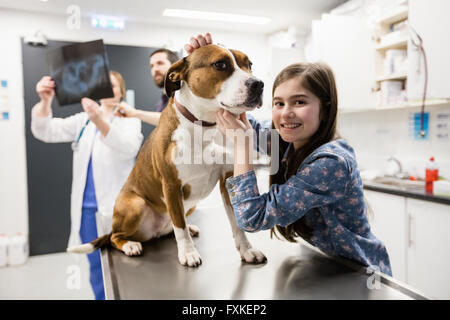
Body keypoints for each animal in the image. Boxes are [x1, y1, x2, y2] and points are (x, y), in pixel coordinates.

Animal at [67, 43, 268, 266]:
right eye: (220, 64)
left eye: (249, 64)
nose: (258, 84)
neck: (204, 125)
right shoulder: (171, 185)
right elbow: (179, 226)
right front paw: (188, 252)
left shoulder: (229, 180)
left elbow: (237, 225)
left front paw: (247, 250)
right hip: (135, 204)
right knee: (115, 237)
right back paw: (129, 245)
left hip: (190, 206)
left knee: (173, 224)